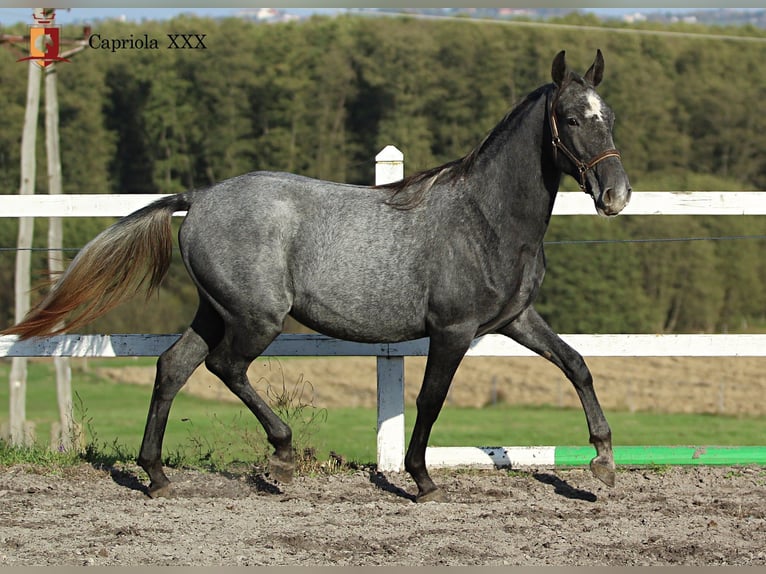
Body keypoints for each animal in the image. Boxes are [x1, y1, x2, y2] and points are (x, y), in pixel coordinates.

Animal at [3, 50, 632, 504]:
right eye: (571, 119)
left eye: (609, 117)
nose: (616, 195)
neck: (486, 218)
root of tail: (199, 198)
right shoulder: (452, 330)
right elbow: (431, 400)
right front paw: (422, 480)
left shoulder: (516, 319)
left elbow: (577, 364)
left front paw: (602, 462)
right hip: (256, 318)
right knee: (224, 367)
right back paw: (280, 457)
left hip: (215, 311)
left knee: (172, 367)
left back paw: (156, 476)